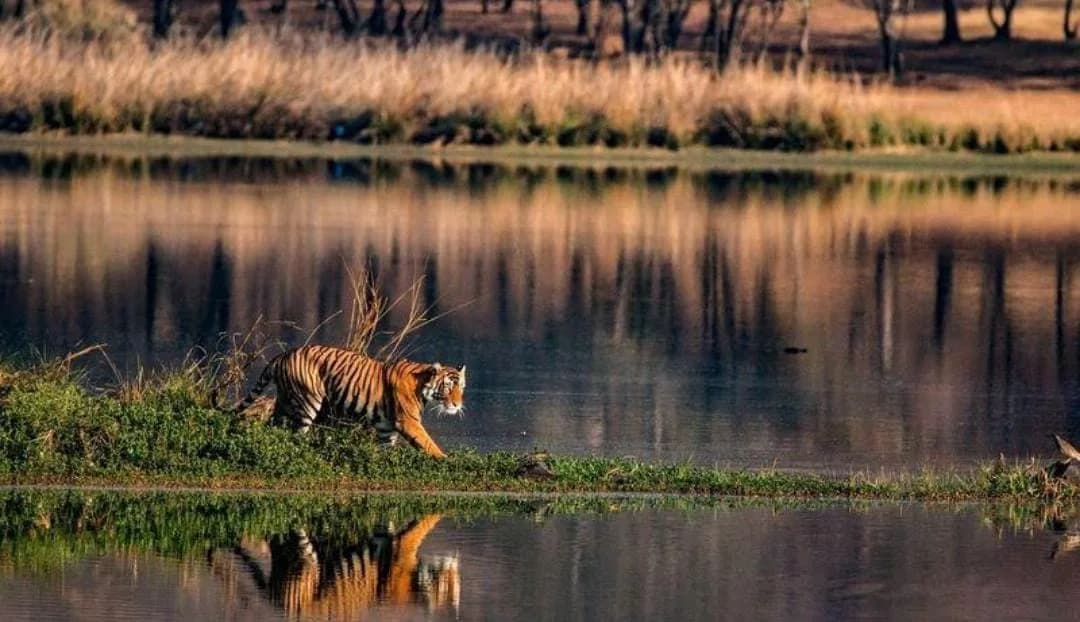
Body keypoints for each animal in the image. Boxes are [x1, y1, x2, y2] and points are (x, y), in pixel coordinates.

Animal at [215, 345, 465, 458]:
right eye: (447, 387)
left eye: (460, 388)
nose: (457, 405)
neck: (423, 385)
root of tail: (284, 354)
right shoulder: (409, 422)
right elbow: (428, 444)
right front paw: (445, 459)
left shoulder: (387, 429)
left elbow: (386, 450)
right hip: (308, 401)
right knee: (296, 434)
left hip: (285, 402)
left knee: (274, 427)